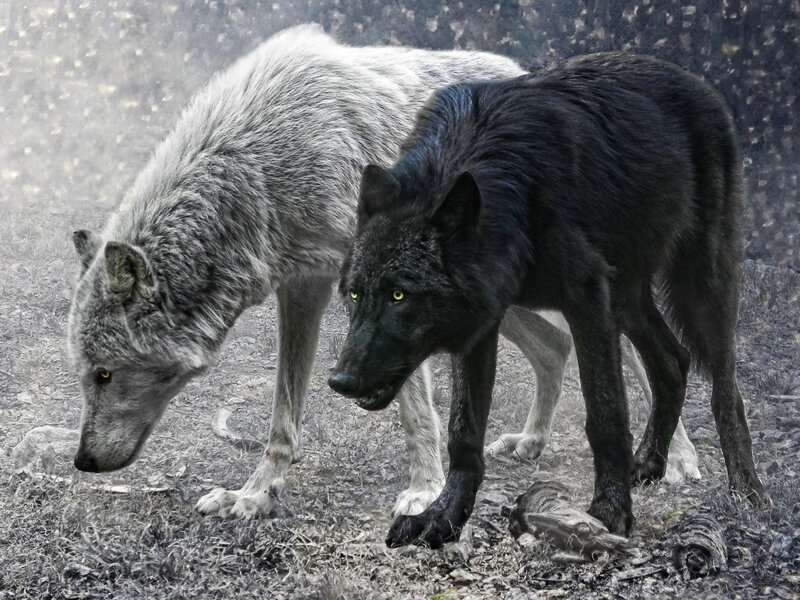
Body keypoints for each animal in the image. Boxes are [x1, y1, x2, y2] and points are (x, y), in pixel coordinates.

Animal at [330, 52, 769, 548]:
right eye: (354, 293)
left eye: (398, 295)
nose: (340, 381)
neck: (511, 193)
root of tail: (694, 80)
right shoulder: (485, 319)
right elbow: (464, 432)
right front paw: (443, 517)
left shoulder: (587, 299)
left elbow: (605, 413)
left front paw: (609, 512)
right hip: (626, 298)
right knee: (674, 361)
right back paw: (648, 466)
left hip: (697, 285)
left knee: (724, 386)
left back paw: (746, 490)